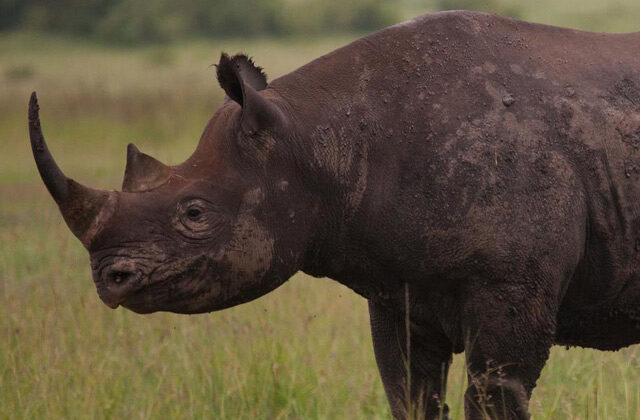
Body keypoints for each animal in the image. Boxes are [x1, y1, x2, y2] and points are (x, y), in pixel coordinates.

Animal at [29, 10, 640, 420]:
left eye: (195, 213)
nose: (109, 280)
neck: (317, 142)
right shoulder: (400, 287)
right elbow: (410, 395)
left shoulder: (508, 283)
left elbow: (494, 393)